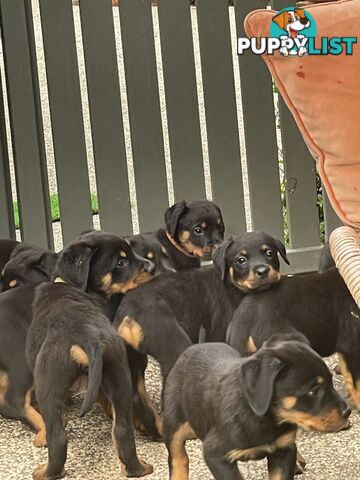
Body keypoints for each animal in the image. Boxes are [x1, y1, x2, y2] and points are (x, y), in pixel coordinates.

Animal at [25, 231, 155, 478]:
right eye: (121, 262)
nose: (152, 267)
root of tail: (89, 337)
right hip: (118, 373)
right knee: (122, 431)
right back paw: (138, 468)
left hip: (48, 384)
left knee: (58, 437)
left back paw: (45, 472)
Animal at [114, 232, 288, 438]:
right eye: (241, 260)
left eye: (269, 253)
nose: (262, 270)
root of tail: (128, 313)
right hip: (174, 344)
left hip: (133, 359)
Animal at [165, 336, 350, 478]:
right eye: (313, 391)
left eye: (331, 381)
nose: (347, 412)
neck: (264, 418)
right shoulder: (216, 456)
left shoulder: (283, 451)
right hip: (174, 420)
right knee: (178, 457)